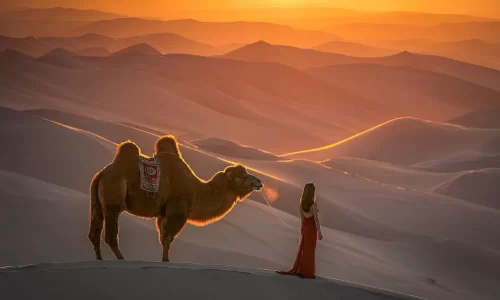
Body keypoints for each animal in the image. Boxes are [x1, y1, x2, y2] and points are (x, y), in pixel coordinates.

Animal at [87, 135, 264, 262]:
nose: (259, 182)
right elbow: (167, 237)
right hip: (113, 198)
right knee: (110, 235)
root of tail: (101, 175)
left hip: (96, 202)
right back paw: (121, 259)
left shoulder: (162, 213)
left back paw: (99, 259)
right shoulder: (177, 210)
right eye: (243, 177)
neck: (196, 189)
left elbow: (163, 237)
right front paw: (166, 261)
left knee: (94, 232)